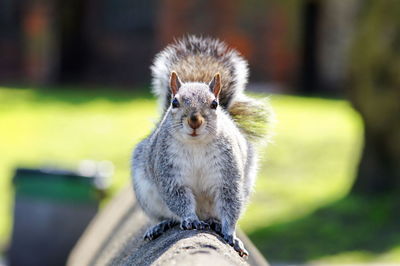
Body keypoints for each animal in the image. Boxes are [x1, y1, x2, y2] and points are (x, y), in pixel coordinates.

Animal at [131, 34, 272, 256]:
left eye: (214, 104)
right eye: (175, 103)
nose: (194, 120)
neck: (196, 145)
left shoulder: (227, 172)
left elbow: (230, 201)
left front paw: (230, 234)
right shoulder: (169, 171)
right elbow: (178, 197)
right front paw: (190, 219)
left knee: (216, 213)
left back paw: (214, 222)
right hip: (146, 194)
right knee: (164, 215)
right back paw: (161, 224)